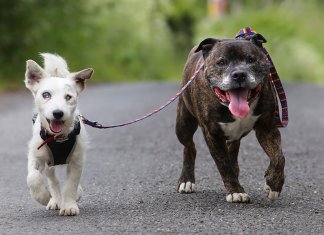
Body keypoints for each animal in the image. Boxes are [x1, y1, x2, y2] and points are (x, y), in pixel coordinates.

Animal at [24, 52, 93, 216]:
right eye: (46, 94)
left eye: (68, 97)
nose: (58, 113)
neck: (58, 138)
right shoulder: (36, 155)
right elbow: (33, 177)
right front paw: (42, 196)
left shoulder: (76, 161)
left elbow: (71, 184)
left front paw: (69, 206)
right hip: (49, 164)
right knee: (53, 180)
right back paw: (54, 199)